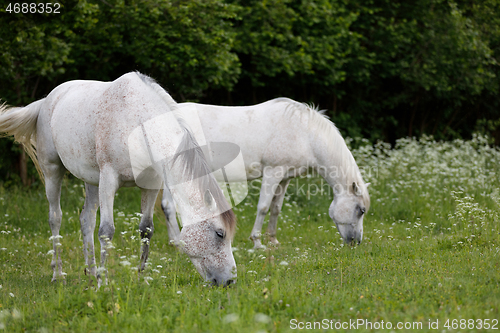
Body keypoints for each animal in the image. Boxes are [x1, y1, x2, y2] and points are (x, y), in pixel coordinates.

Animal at [0, 72, 237, 286]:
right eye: (220, 234)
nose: (229, 281)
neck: (137, 125)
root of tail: (47, 100)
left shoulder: (150, 184)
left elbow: (146, 229)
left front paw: (140, 277)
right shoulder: (109, 180)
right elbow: (106, 231)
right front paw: (103, 284)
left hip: (91, 180)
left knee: (86, 219)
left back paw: (91, 272)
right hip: (52, 170)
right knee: (55, 217)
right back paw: (59, 275)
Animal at [162, 98, 370, 249]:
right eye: (361, 210)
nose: (356, 242)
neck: (304, 134)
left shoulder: (285, 178)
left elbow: (276, 208)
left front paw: (273, 240)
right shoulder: (272, 173)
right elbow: (263, 206)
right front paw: (257, 242)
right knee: (170, 206)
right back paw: (178, 243)